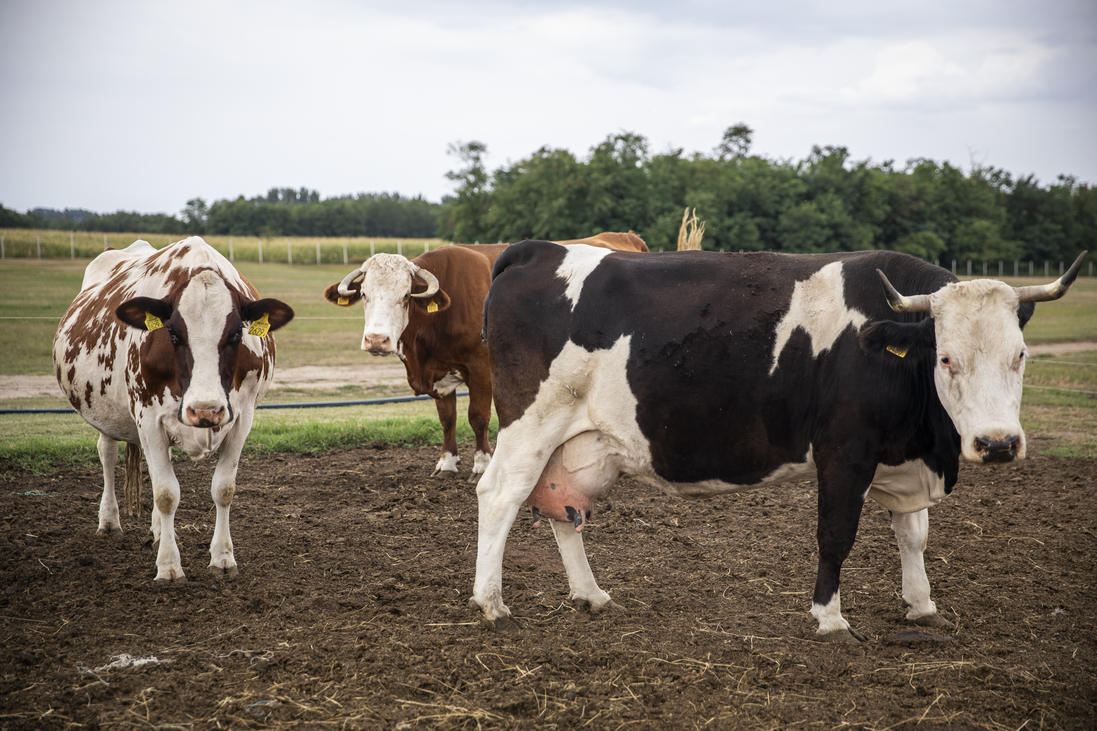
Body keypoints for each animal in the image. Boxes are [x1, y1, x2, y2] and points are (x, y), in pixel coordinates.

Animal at [53, 238, 293, 579]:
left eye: (236, 332)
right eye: (173, 333)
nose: (205, 410)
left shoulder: (241, 418)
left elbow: (224, 489)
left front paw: (222, 558)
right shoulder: (148, 418)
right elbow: (166, 494)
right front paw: (168, 566)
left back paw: (156, 530)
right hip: (107, 414)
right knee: (108, 455)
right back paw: (109, 520)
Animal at [324, 230, 645, 476]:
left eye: (405, 296)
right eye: (364, 294)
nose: (376, 340)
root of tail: (623, 236)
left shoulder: (480, 370)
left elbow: (477, 416)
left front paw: (481, 463)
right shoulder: (440, 374)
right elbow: (447, 418)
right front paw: (447, 462)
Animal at [473, 243, 1088, 636]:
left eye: (1021, 355)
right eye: (946, 358)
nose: (998, 443)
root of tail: (536, 249)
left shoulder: (900, 459)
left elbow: (913, 535)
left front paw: (921, 605)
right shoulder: (845, 451)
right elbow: (836, 534)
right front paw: (830, 618)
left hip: (576, 444)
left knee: (562, 507)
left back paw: (591, 595)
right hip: (532, 423)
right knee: (501, 494)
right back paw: (491, 603)